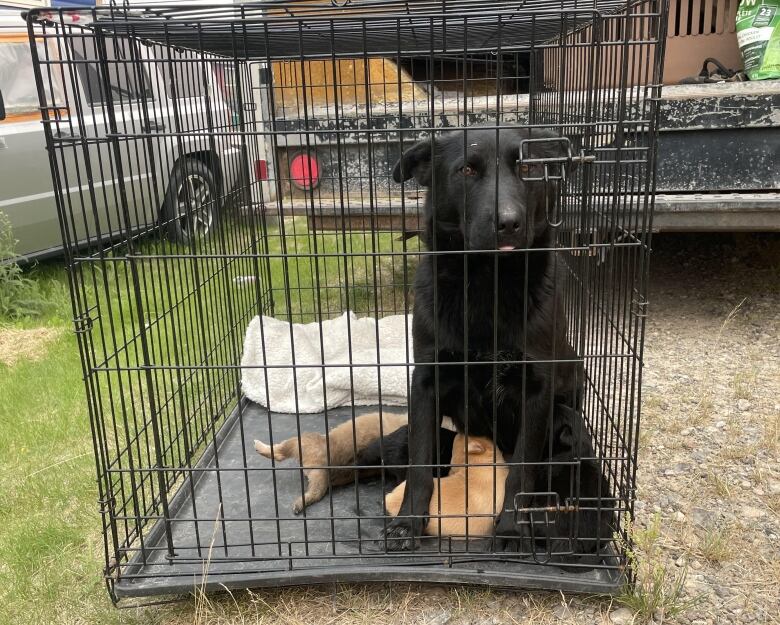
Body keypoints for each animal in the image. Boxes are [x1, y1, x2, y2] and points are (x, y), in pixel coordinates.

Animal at [386, 127, 580, 552]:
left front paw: (509, 530)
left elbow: (520, 469)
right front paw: (408, 522)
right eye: (467, 170)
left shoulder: (536, 389)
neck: (486, 282)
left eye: (528, 168)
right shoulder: (426, 380)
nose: (508, 223)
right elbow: (420, 462)